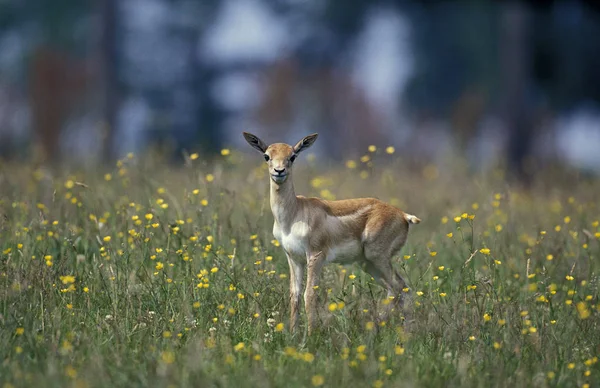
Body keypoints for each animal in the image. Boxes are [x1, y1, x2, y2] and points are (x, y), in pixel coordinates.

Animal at [241, 132, 420, 334]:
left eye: (292, 156)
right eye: (267, 156)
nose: (279, 171)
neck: (294, 214)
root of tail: (404, 215)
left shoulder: (315, 256)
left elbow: (310, 295)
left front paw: (311, 335)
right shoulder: (294, 258)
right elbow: (294, 296)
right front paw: (294, 334)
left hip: (377, 257)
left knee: (400, 289)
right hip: (368, 263)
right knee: (398, 291)